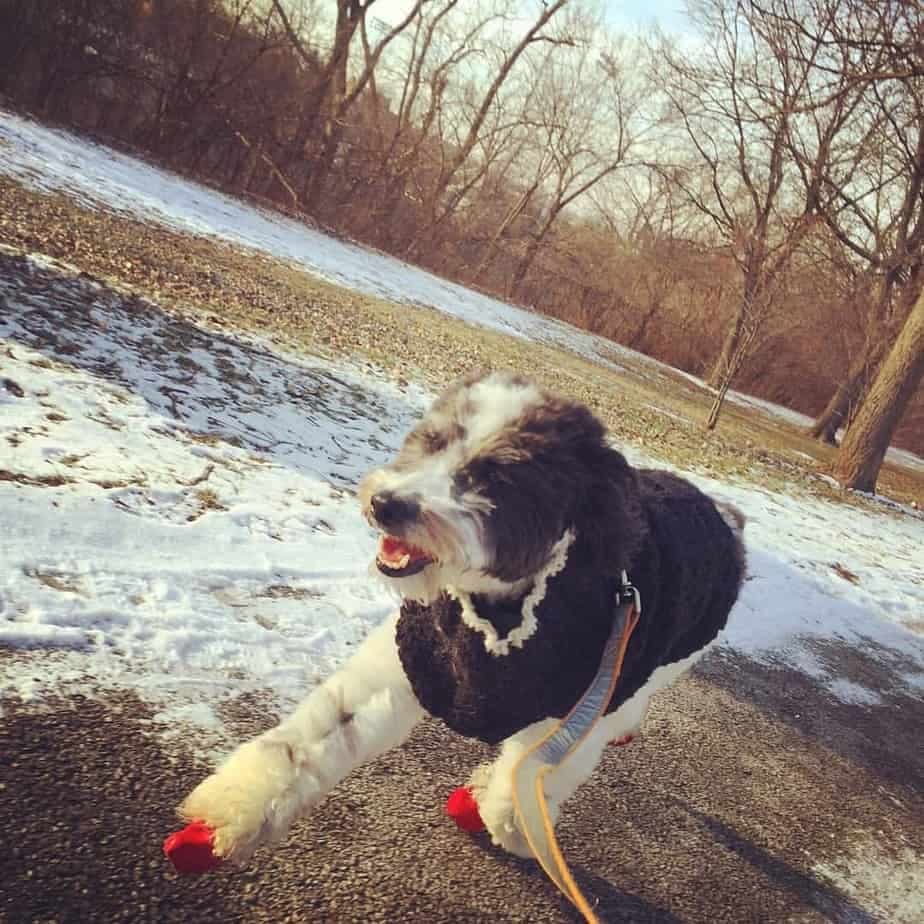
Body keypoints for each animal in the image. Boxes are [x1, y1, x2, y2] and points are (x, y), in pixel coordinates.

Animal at [179, 372, 744, 864]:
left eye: (495, 477)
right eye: (433, 441)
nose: (386, 504)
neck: (499, 612)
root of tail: (720, 511)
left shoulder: (579, 711)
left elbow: (534, 774)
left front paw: (510, 823)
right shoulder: (404, 667)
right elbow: (312, 738)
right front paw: (236, 809)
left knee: (627, 712)